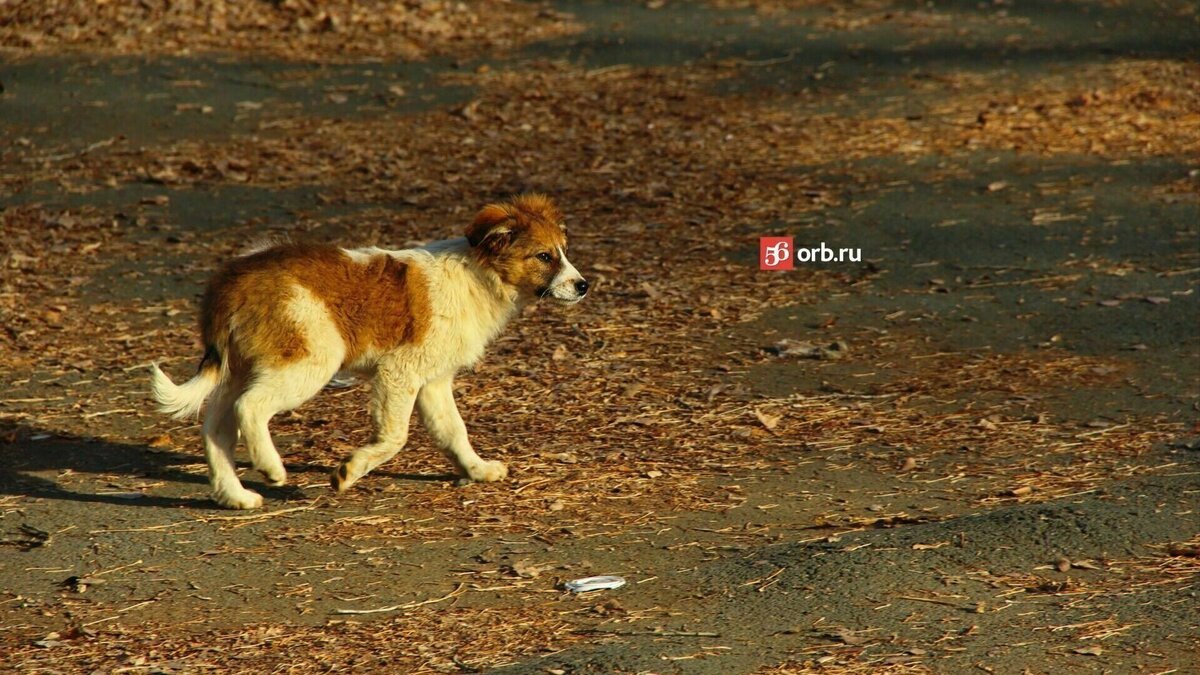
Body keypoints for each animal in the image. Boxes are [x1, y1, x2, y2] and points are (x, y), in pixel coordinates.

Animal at [147, 192, 588, 506]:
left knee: (216, 428)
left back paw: (235, 496)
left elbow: (453, 431)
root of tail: (231, 278)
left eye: (563, 251)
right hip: (308, 362)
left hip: (245, 368)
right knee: (250, 408)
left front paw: (477, 470)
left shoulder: (433, 381)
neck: (478, 275)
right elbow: (395, 437)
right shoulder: (399, 373)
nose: (584, 286)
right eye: (544, 256)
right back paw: (271, 468)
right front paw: (351, 470)